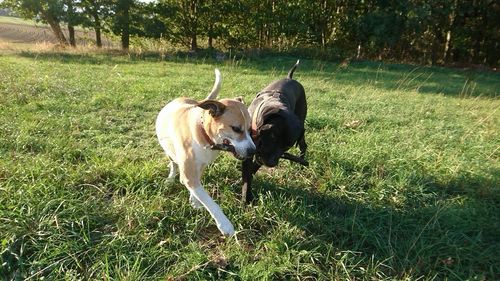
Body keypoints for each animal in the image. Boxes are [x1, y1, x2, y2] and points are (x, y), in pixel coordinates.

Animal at [154, 68, 256, 234]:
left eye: (249, 129)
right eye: (236, 129)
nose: (253, 151)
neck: (203, 133)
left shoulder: (201, 166)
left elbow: (198, 190)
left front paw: (194, 201)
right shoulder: (190, 173)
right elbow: (210, 202)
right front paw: (225, 224)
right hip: (168, 151)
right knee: (173, 164)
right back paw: (170, 178)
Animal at [241, 60, 306, 202]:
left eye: (288, 145)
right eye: (272, 136)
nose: (271, 163)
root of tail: (290, 78)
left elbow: (253, 169)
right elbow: (247, 175)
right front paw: (246, 199)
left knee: (303, 145)